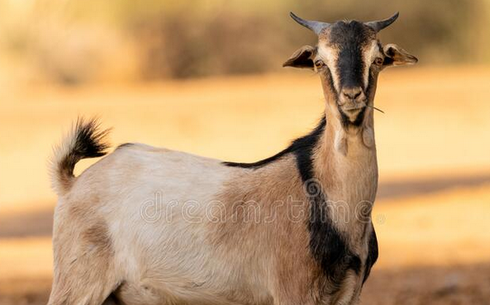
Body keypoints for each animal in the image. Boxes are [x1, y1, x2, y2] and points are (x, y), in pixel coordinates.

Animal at [47, 11, 418, 304]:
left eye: (378, 59)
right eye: (318, 62)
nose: (351, 97)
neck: (325, 191)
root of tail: (72, 184)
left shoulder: (349, 292)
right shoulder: (293, 291)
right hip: (77, 284)